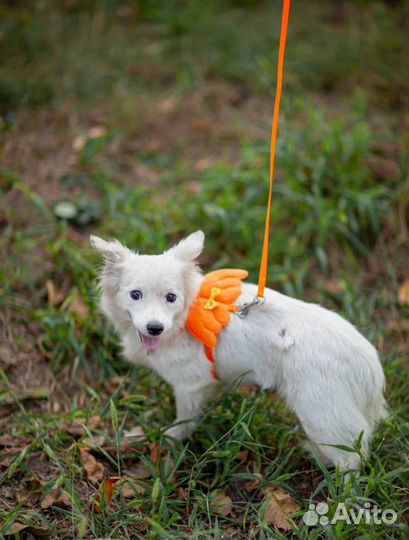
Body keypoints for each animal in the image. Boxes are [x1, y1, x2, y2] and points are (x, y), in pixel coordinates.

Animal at [90, 230, 386, 470]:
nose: (154, 328)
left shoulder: (191, 386)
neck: (184, 320)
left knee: (351, 460)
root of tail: (370, 367)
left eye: (171, 298)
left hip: (321, 414)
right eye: (135, 295)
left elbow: (183, 422)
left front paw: (168, 440)